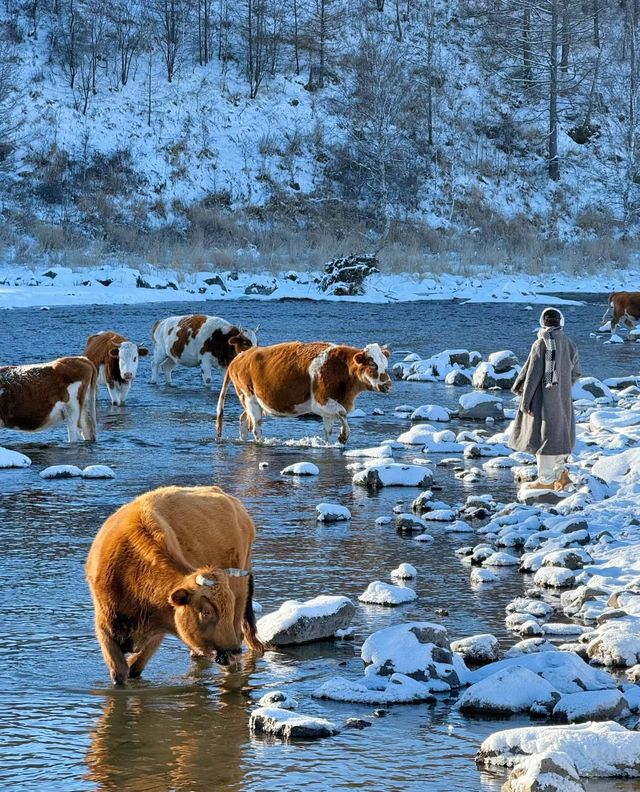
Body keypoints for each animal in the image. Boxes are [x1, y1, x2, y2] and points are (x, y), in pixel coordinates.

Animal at [86, 486, 264, 684]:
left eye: (229, 608)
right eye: (206, 611)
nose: (233, 652)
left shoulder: (157, 630)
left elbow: (134, 667)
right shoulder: (105, 628)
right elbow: (121, 673)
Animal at [218, 342, 392, 446]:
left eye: (385, 365)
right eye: (373, 364)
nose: (388, 385)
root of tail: (240, 357)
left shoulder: (329, 409)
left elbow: (328, 430)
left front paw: (331, 443)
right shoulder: (321, 402)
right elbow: (342, 413)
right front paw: (343, 436)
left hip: (252, 402)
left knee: (243, 419)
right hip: (250, 399)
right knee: (256, 426)